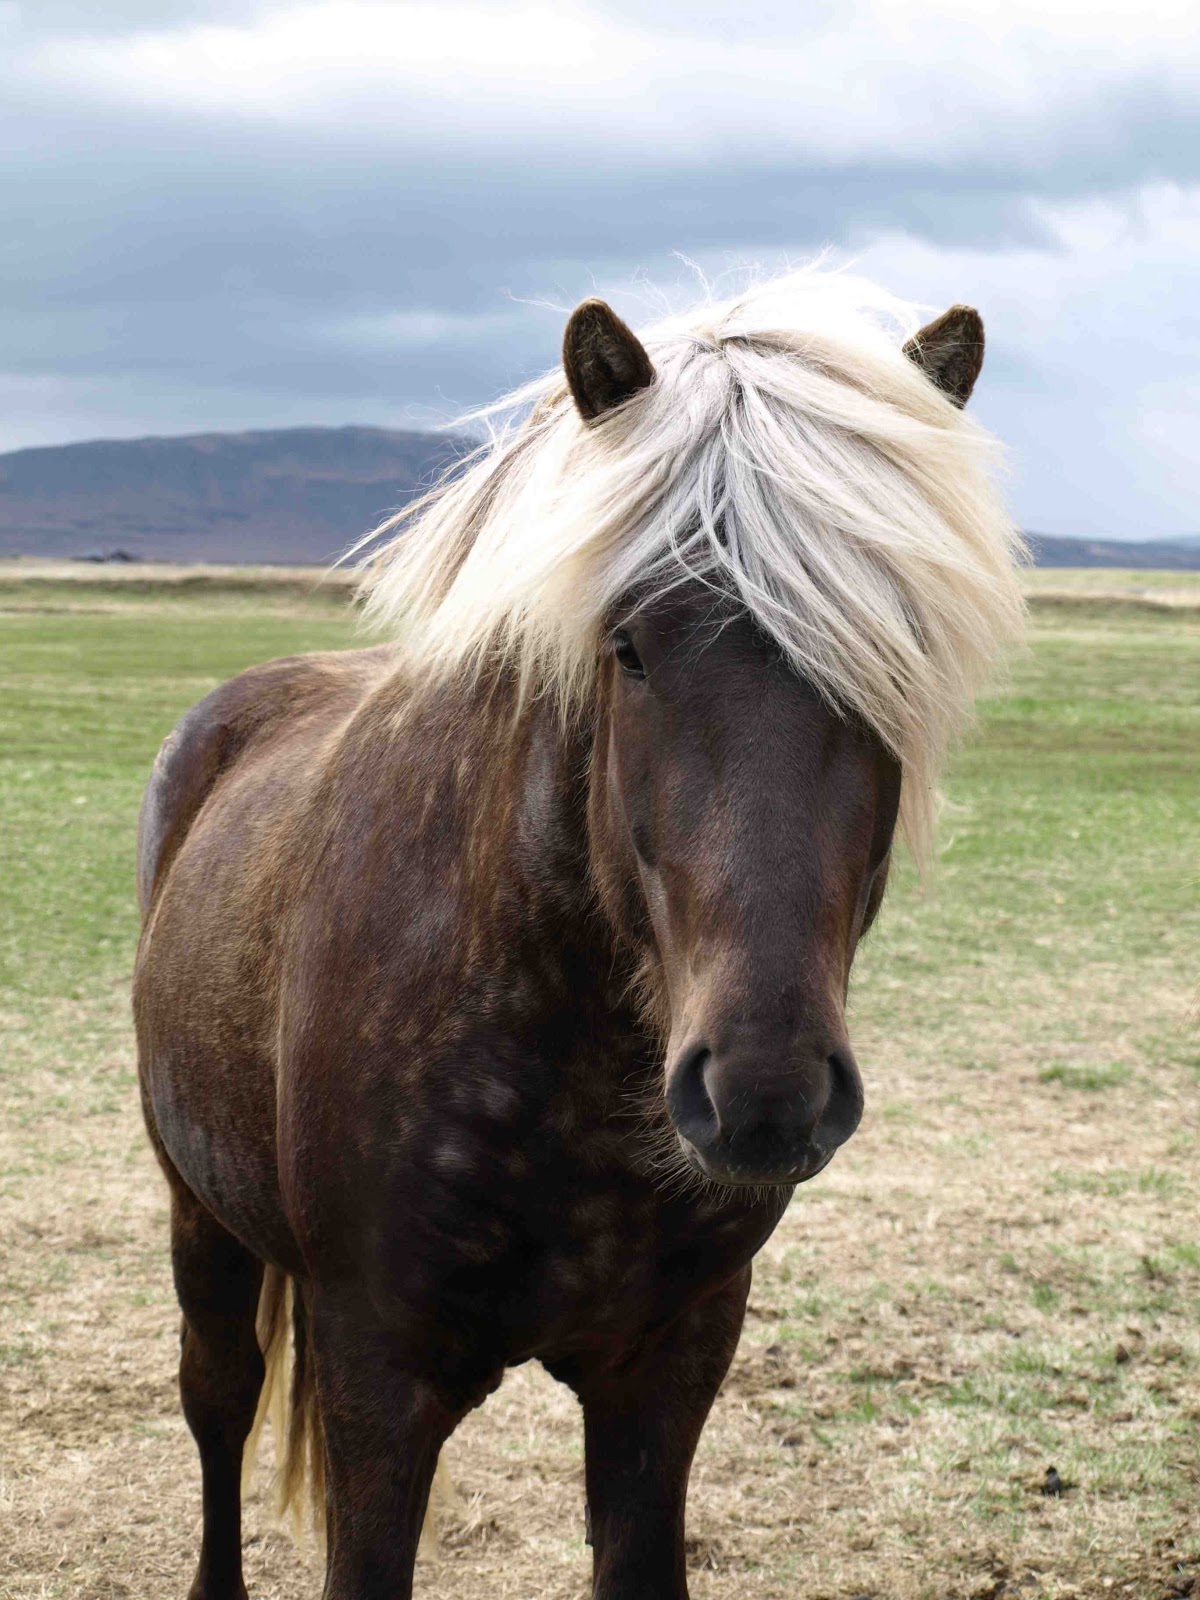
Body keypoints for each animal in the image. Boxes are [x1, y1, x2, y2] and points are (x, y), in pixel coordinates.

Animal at [133, 271, 1024, 1600]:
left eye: (897, 651)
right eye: (628, 648)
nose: (764, 1089)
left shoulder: (666, 1371)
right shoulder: (375, 1377)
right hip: (200, 1212)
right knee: (219, 1403)